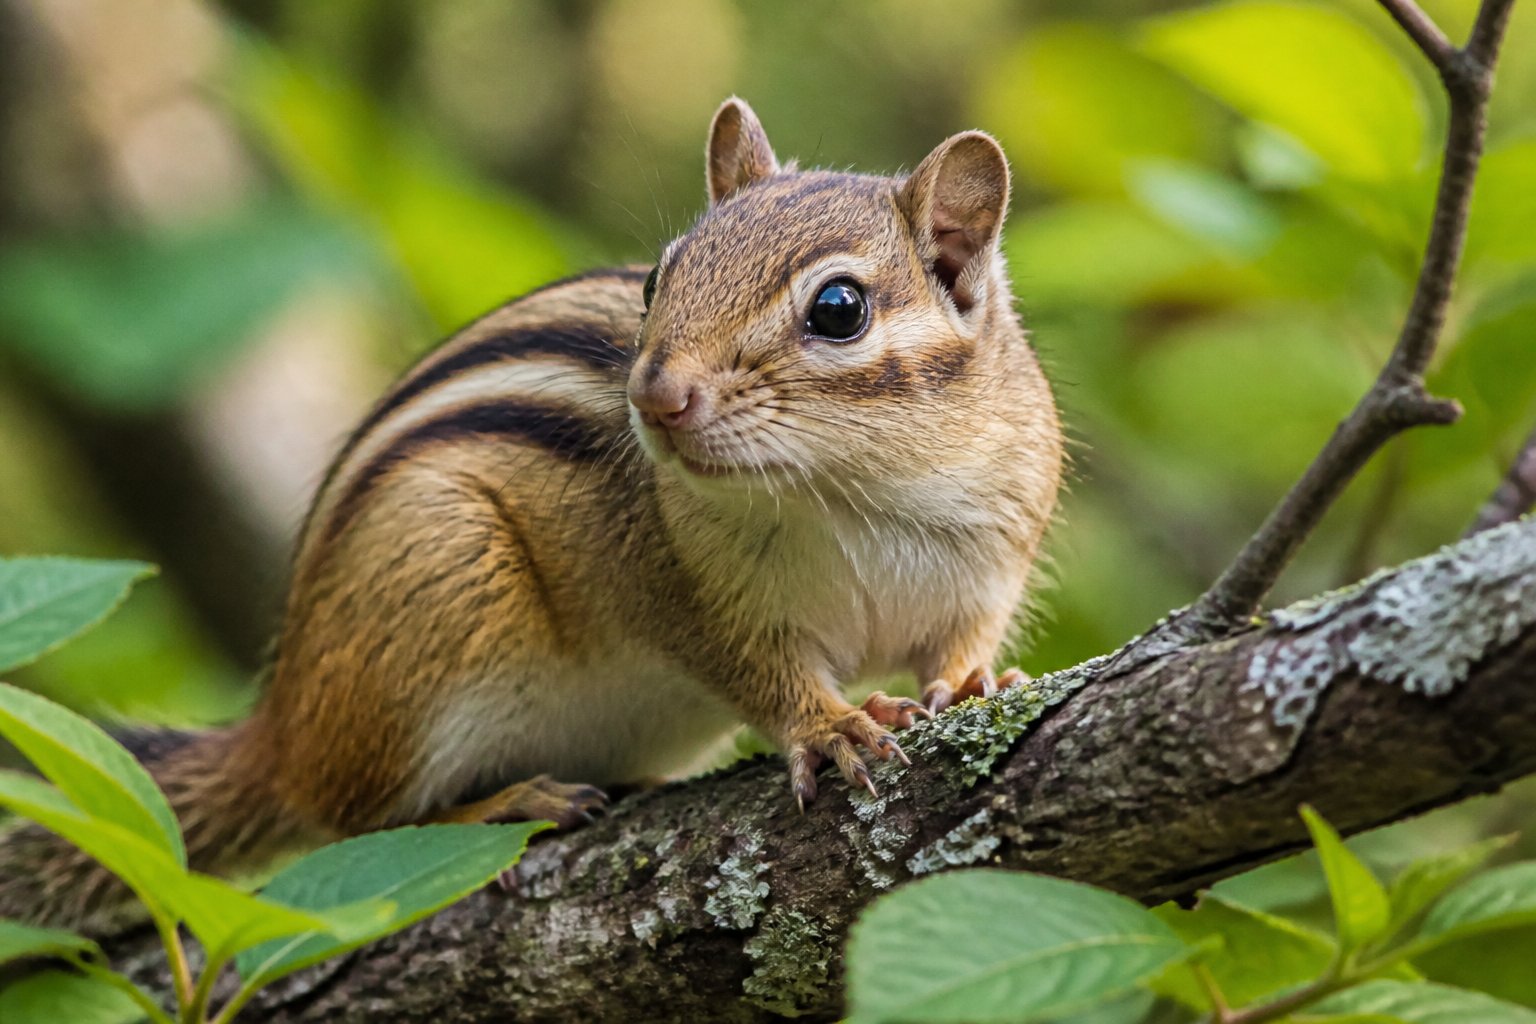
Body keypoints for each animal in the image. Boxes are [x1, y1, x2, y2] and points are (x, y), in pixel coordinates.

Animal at [0, 98, 1062, 931]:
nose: (654, 396)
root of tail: (282, 725)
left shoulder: (991, 560)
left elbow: (962, 640)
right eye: (658, 277)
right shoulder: (687, 593)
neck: (857, 490)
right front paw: (831, 726)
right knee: (354, 818)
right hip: (435, 590)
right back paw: (509, 805)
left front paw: (977, 681)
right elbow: (759, 671)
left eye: (839, 308)